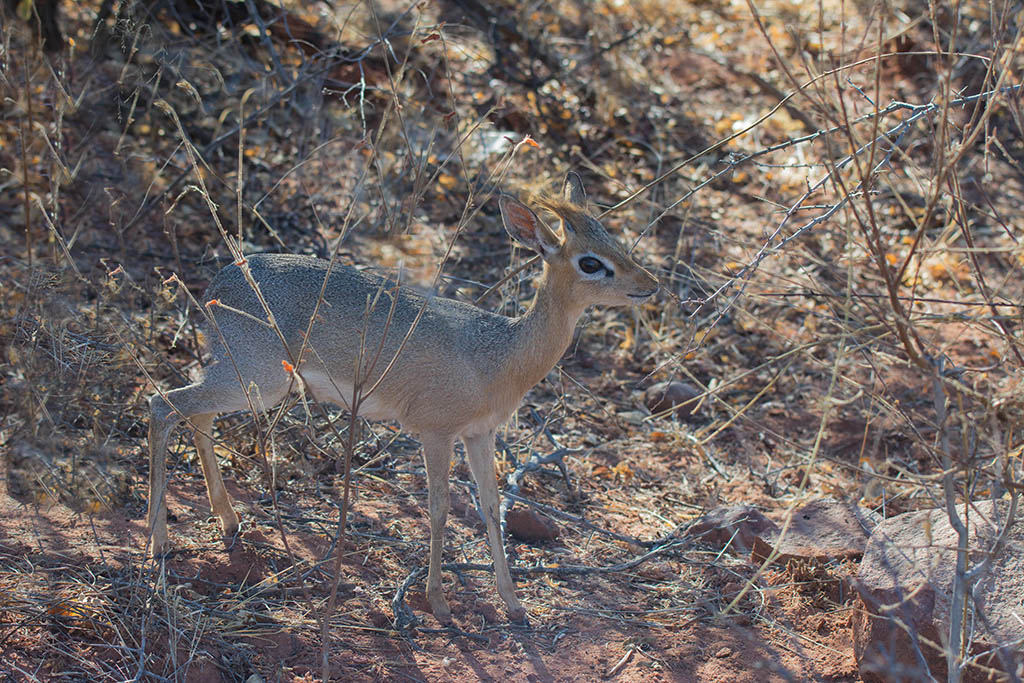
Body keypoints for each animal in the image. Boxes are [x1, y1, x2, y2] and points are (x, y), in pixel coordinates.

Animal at [148, 172, 659, 626]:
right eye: (590, 262)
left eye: (616, 241)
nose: (649, 284)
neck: (499, 355)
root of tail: (218, 284)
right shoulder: (436, 432)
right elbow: (438, 511)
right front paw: (440, 604)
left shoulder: (480, 434)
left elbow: (492, 509)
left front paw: (514, 606)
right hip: (259, 380)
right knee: (163, 404)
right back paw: (159, 544)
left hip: (248, 382)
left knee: (196, 417)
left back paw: (228, 522)